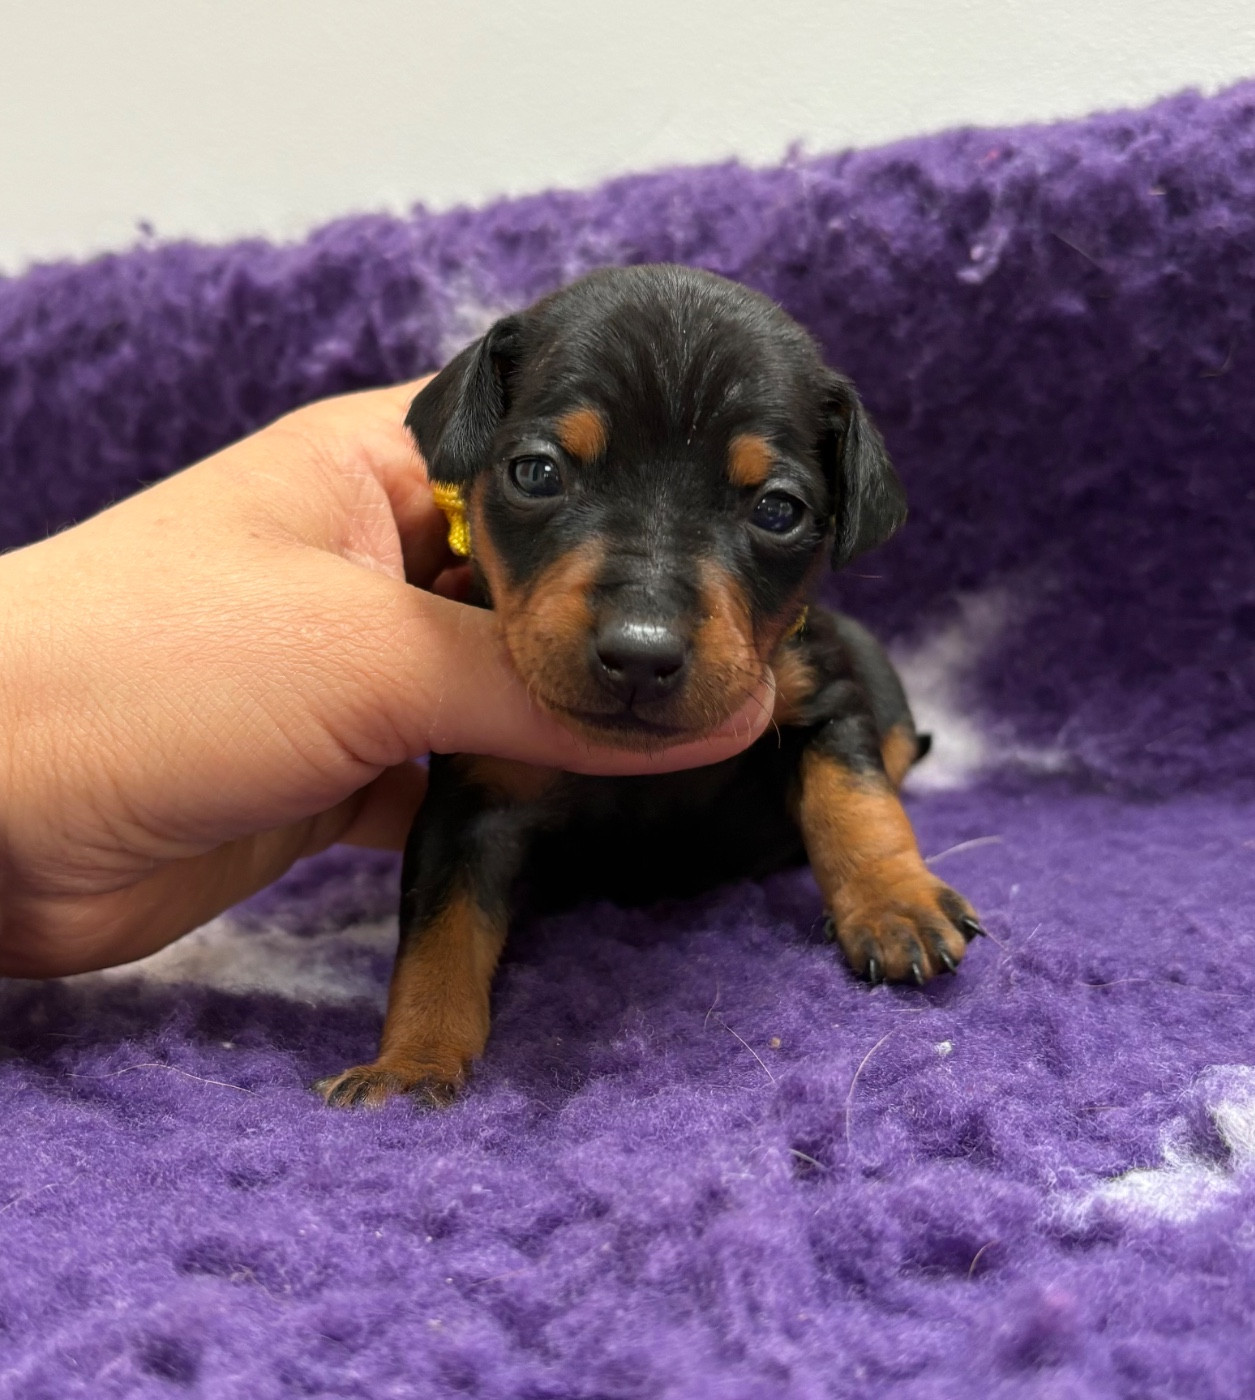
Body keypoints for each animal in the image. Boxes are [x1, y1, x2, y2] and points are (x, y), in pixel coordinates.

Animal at [316, 264, 983, 1108]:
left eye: (777, 510)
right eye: (536, 472)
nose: (638, 654)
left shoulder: (821, 696)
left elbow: (854, 799)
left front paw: (895, 905)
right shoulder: (471, 802)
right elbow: (441, 933)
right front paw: (411, 1065)